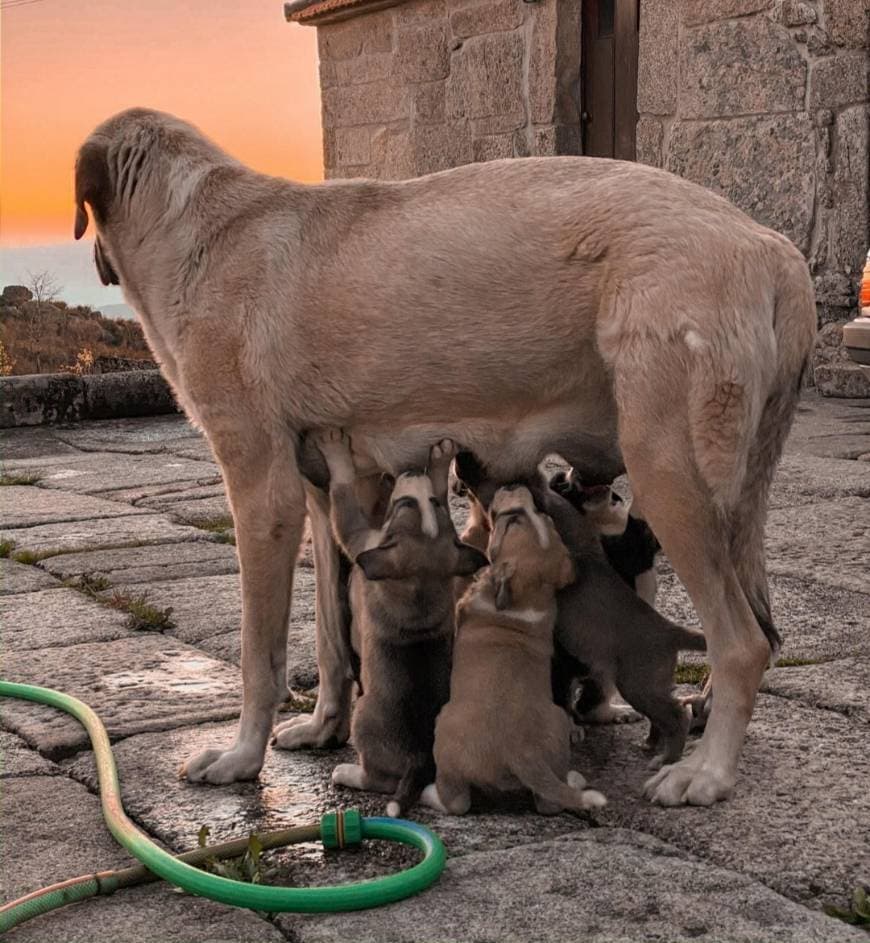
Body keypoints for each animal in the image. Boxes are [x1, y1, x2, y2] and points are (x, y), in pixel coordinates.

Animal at [316, 432, 490, 816]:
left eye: (403, 503)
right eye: (430, 503)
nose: (411, 470)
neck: (418, 588)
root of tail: (418, 759)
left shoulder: (358, 536)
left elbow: (343, 494)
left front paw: (335, 450)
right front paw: (440, 460)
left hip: (362, 719)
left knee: (378, 781)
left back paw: (346, 772)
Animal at [422, 486, 608, 820]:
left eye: (511, 522)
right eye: (543, 518)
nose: (512, 486)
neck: (526, 598)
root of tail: (521, 752)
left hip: (444, 731)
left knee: (457, 802)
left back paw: (429, 793)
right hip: (557, 723)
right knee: (549, 801)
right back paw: (574, 780)